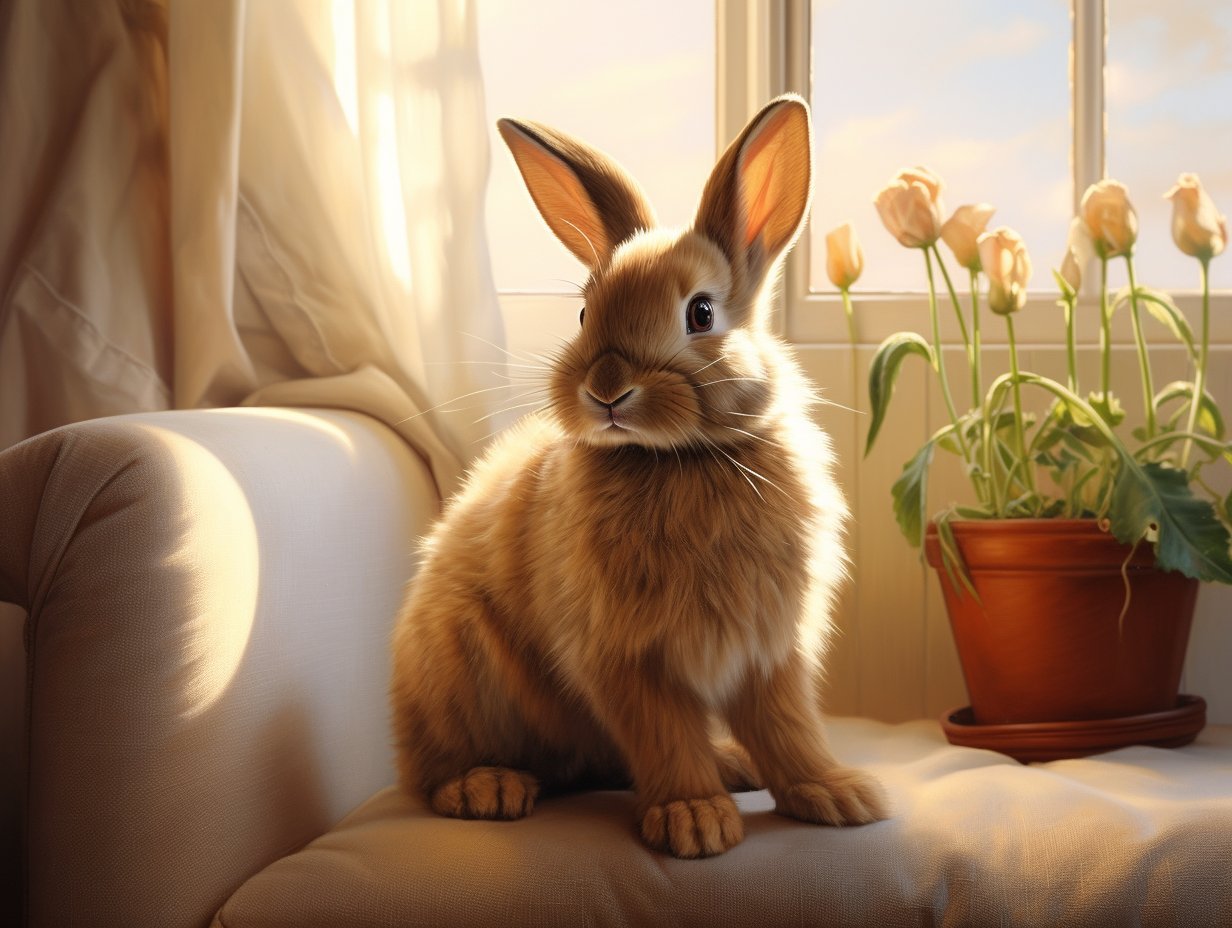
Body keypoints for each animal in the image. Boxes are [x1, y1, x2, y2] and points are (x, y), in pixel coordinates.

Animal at [389, 93, 889, 859]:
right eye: (584, 312)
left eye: (701, 313)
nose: (605, 390)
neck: (680, 457)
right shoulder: (625, 658)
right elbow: (663, 735)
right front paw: (694, 821)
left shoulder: (769, 649)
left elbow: (789, 726)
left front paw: (837, 796)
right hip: (460, 672)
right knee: (439, 772)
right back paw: (488, 788)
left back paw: (733, 766)